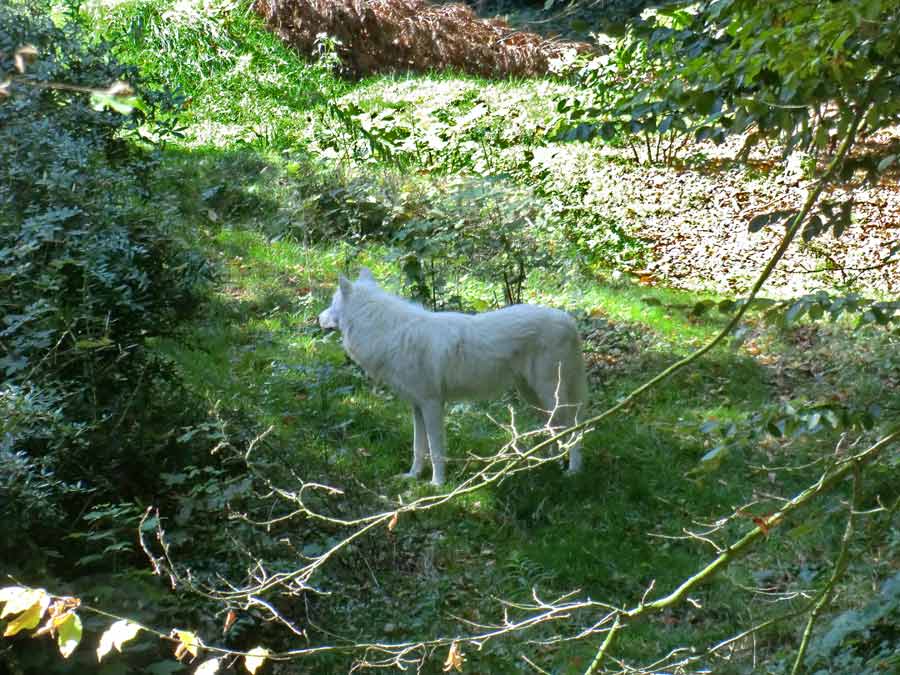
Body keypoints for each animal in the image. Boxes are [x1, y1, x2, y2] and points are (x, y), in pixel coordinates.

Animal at [320, 270, 588, 486]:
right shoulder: (417, 406)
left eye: (332, 303)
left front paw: (437, 485)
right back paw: (547, 460)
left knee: (572, 426)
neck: (388, 331)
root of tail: (569, 320)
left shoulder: (432, 404)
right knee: (554, 426)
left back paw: (572, 471)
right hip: (532, 395)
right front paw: (412, 477)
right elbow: (418, 447)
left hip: (549, 393)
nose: (317, 318)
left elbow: (435, 449)